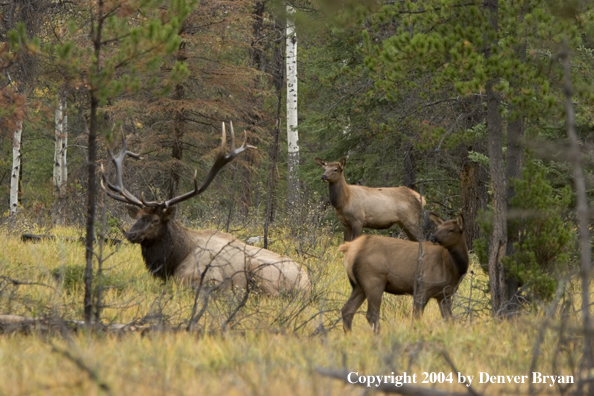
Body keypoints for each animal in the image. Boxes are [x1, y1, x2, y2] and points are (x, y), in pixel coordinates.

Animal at [102, 122, 312, 296]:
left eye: (155, 220)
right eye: (137, 216)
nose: (130, 234)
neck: (175, 258)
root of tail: (306, 282)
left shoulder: (205, 277)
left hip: (262, 272)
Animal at [338, 212, 468, 332]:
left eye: (451, 229)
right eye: (439, 228)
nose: (433, 238)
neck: (453, 268)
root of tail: (349, 248)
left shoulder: (445, 295)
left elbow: (450, 320)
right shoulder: (423, 287)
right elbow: (416, 318)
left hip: (359, 285)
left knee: (347, 309)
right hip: (374, 280)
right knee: (371, 315)